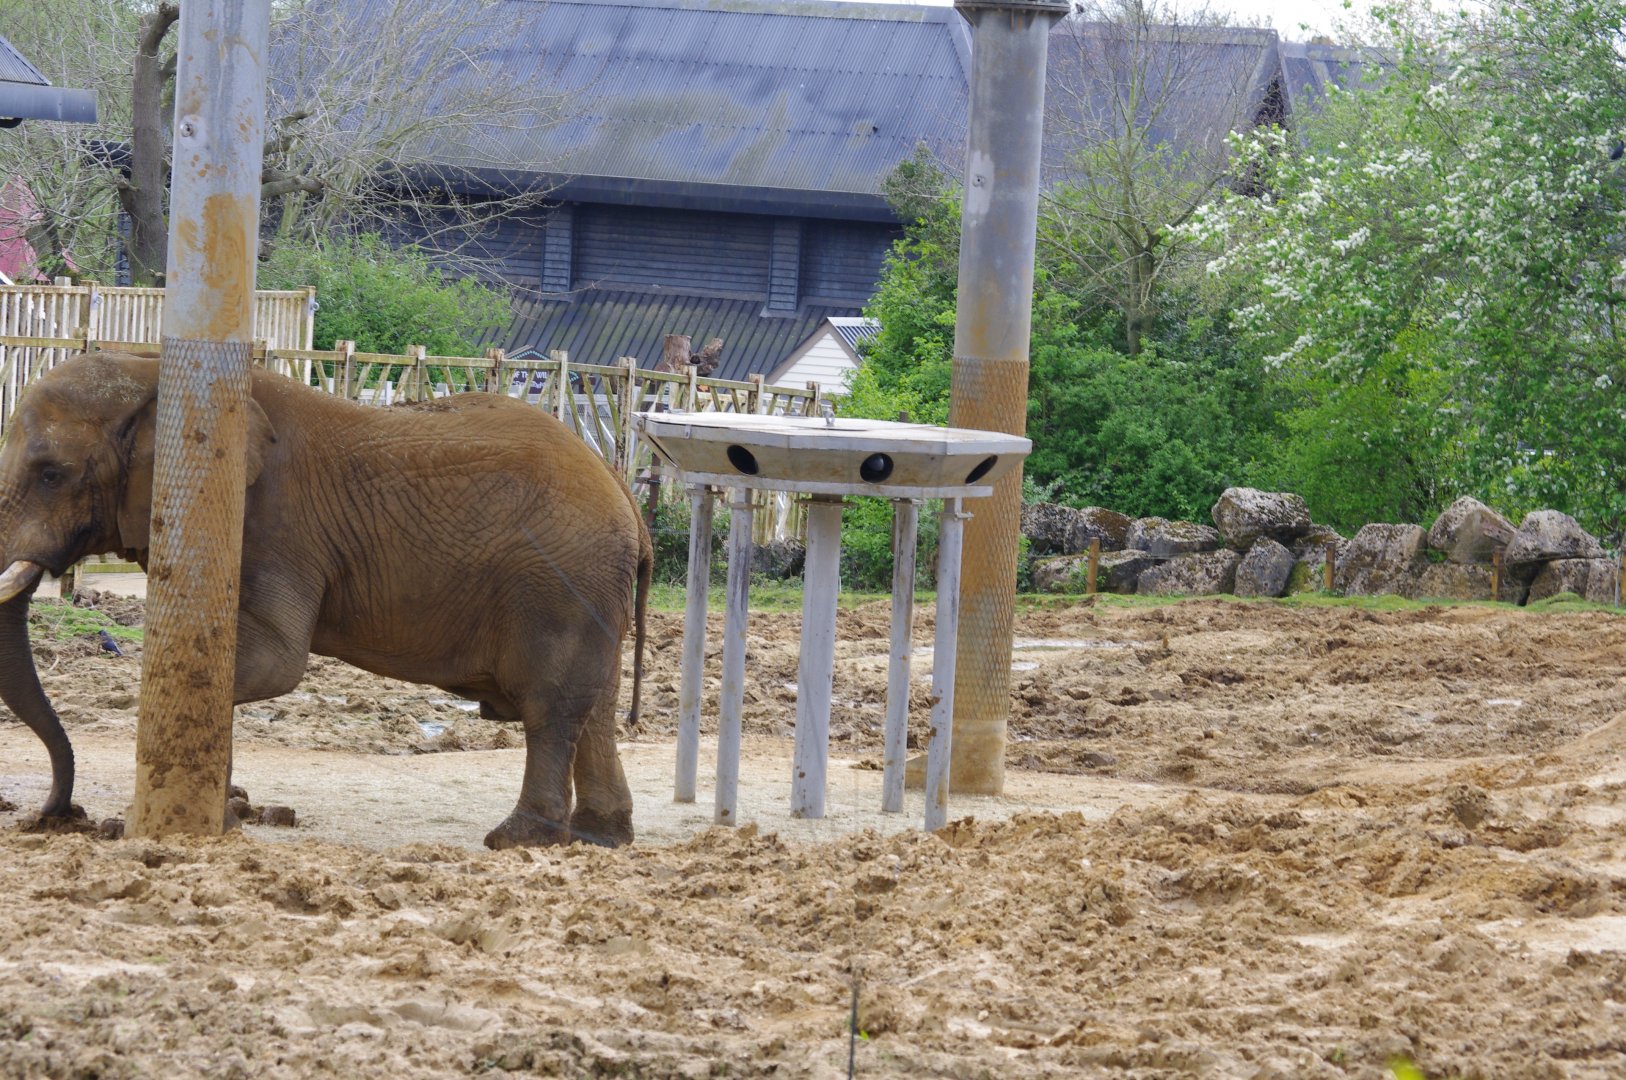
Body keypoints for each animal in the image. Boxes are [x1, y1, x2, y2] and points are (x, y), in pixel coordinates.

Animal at [0, 351, 650, 848]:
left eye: (51, 474)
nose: (55, 815)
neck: (151, 367)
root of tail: (625, 495)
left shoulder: (269, 527)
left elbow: (270, 662)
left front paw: (189, 820)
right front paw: (231, 812)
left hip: (559, 586)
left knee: (550, 709)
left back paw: (517, 841)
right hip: (588, 592)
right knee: (595, 706)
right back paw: (600, 839)